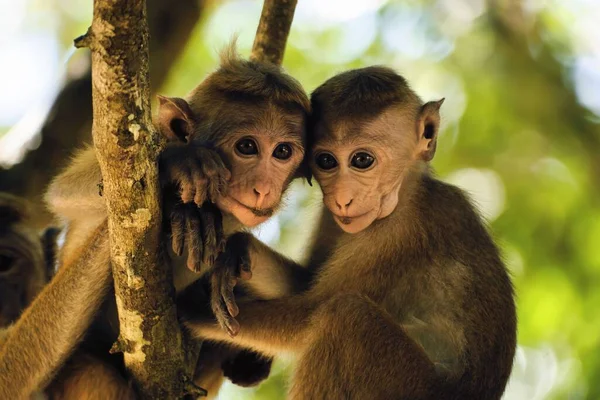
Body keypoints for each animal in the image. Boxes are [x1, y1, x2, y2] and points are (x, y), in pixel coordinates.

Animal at [179, 66, 516, 400]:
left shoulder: (398, 232)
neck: (408, 193)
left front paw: (190, 309)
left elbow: (307, 316)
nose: (342, 198)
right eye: (326, 161)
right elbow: (304, 283)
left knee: (345, 314)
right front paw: (237, 250)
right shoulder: (332, 217)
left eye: (362, 160)